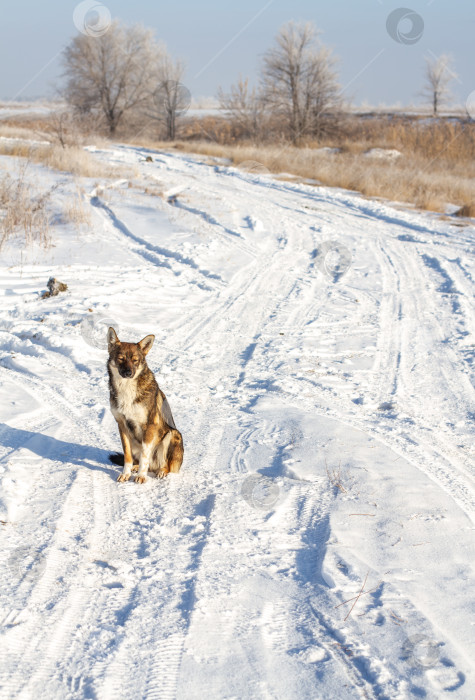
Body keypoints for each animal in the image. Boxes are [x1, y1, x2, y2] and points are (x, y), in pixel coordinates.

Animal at [107, 326, 183, 482]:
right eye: (121, 358)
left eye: (135, 360)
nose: (128, 373)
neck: (127, 389)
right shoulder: (122, 425)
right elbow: (127, 456)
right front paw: (126, 474)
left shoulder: (149, 426)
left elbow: (144, 456)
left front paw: (142, 476)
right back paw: (135, 468)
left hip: (172, 434)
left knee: (165, 465)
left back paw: (160, 471)